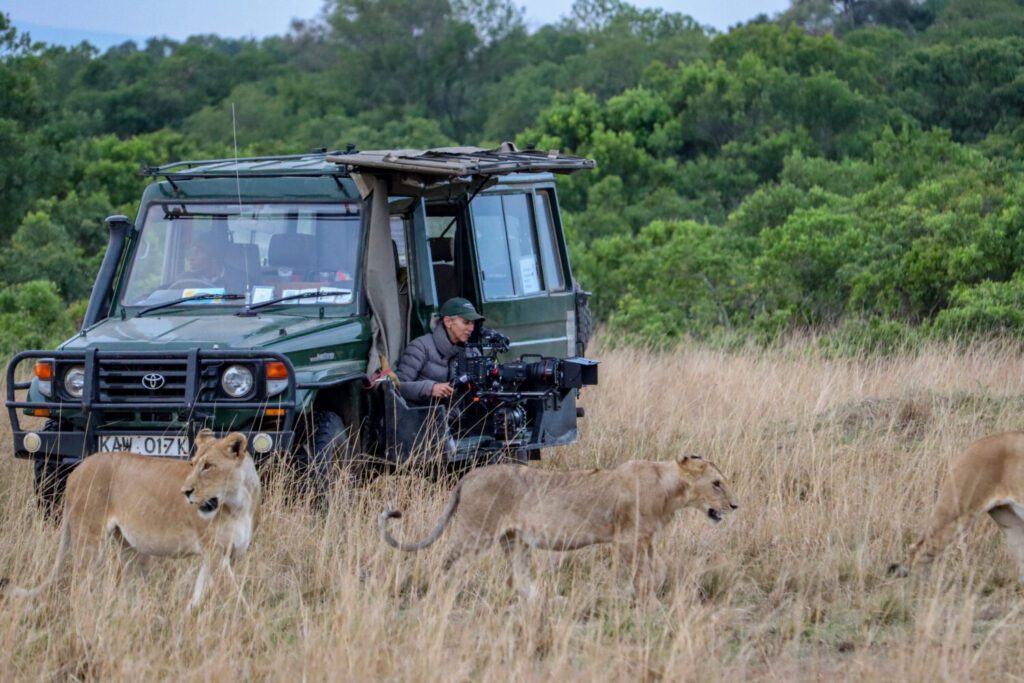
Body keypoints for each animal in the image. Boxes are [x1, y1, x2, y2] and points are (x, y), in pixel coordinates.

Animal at [1, 430, 260, 610]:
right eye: (193, 464)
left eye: (208, 466)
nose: (185, 492)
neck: (238, 504)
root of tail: (77, 469)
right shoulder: (215, 553)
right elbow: (236, 595)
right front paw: (253, 624)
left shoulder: (225, 555)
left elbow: (200, 593)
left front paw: (189, 617)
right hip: (90, 539)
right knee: (80, 584)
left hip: (128, 547)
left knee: (128, 586)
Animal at [380, 456, 738, 603]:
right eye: (717, 483)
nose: (735, 506)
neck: (670, 491)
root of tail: (468, 476)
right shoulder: (627, 539)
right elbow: (630, 575)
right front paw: (628, 600)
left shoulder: (646, 539)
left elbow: (657, 571)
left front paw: (650, 598)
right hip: (476, 533)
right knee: (446, 562)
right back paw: (438, 595)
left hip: (515, 540)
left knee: (519, 579)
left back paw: (549, 602)